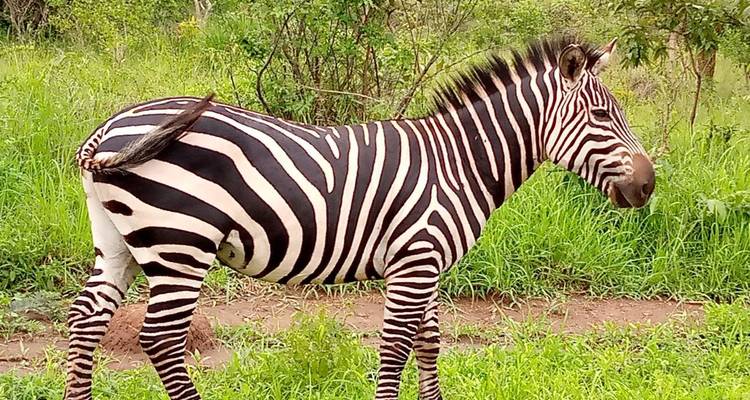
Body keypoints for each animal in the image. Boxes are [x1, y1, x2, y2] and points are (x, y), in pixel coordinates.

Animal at [65, 37, 654, 400]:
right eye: (602, 115)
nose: (649, 186)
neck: (457, 161)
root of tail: (106, 131)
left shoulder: (427, 264)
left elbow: (428, 342)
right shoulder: (415, 260)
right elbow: (396, 345)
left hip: (119, 240)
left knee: (84, 320)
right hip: (179, 242)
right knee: (161, 339)